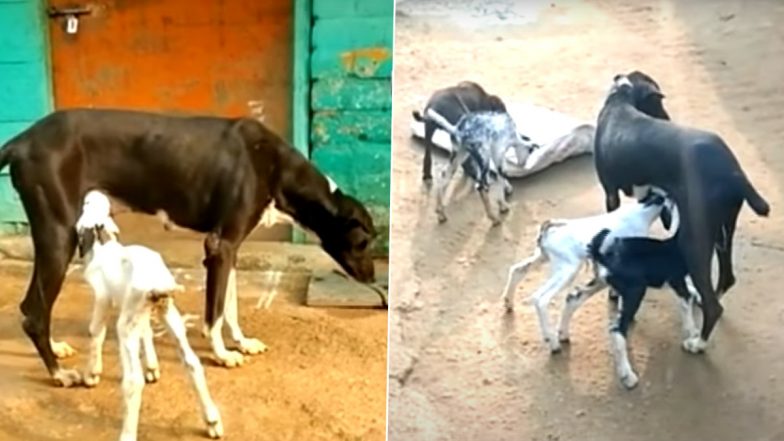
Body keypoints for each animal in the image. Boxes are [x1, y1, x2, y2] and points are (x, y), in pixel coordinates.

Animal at [0, 109, 376, 384]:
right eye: (362, 242)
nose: (373, 278)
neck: (272, 164)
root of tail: (23, 140)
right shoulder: (220, 246)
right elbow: (214, 314)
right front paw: (222, 355)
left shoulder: (231, 250)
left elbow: (231, 306)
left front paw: (242, 342)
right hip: (58, 237)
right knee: (35, 313)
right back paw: (59, 374)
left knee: (29, 306)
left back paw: (57, 349)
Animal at [596, 72, 772, 352]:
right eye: (658, 103)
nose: (668, 119)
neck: (621, 99)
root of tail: (732, 171)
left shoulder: (610, 194)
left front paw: (614, 292)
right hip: (722, 231)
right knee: (726, 278)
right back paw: (699, 303)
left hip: (694, 239)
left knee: (714, 306)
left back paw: (698, 343)